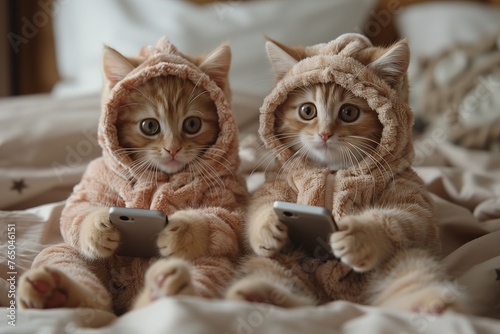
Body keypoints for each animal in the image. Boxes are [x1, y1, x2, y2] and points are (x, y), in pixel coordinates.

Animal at [225, 35, 466, 314]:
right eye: (307, 111)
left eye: (349, 112)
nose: (325, 134)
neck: (333, 170)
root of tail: (337, 298)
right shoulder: (279, 182)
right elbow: (260, 204)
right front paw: (266, 226)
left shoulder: (409, 190)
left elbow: (412, 216)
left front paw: (362, 235)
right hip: (285, 259)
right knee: (269, 267)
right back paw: (260, 294)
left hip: (401, 259)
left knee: (411, 268)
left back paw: (430, 303)